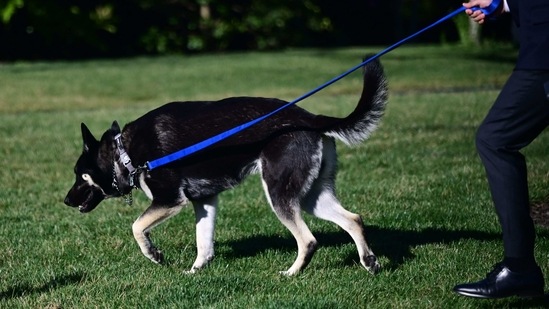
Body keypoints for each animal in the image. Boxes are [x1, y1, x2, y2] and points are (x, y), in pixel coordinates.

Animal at [64, 58, 388, 274]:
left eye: (80, 175)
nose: (66, 200)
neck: (125, 153)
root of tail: (310, 117)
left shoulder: (170, 200)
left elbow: (136, 227)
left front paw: (154, 254)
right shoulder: (205, 201)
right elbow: (204, 242)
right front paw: (195, 272)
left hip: (280, 194)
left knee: (308, 240)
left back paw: (292, 273)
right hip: (310, 195)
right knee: (353, 219)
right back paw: (370, 262)